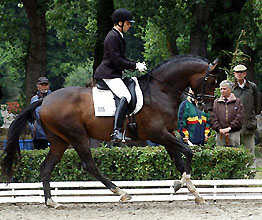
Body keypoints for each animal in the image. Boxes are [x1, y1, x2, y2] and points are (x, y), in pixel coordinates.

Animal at [1, 54, 218, 206]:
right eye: (211, 81)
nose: (207, 107)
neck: (160, 91)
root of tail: (45, 100)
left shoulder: (167, 134)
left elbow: (179, 160)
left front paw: (193, 191)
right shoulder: (158, 134)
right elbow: (188, 151)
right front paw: (182, 184)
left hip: (59, 140)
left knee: (46, 168)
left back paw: (51, 202)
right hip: (77, 136)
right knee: (89, 165)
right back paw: (121, 193)